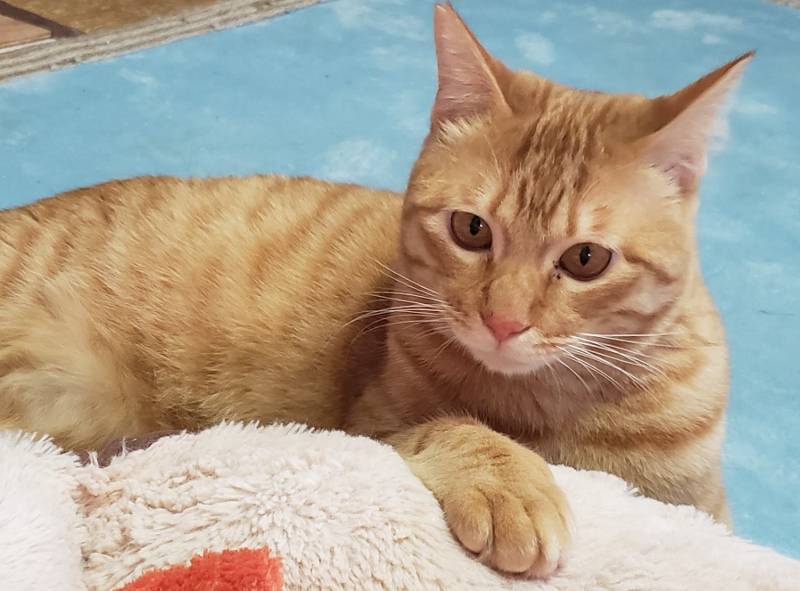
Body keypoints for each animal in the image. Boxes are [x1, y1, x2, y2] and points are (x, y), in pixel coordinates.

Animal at [0, 3, 751, 579]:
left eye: (586, 259)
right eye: (472, 229)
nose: (503, 321)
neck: (551, 408)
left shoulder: (703, 507)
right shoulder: (368, 425)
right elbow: (452, 425)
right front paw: (510, 479)